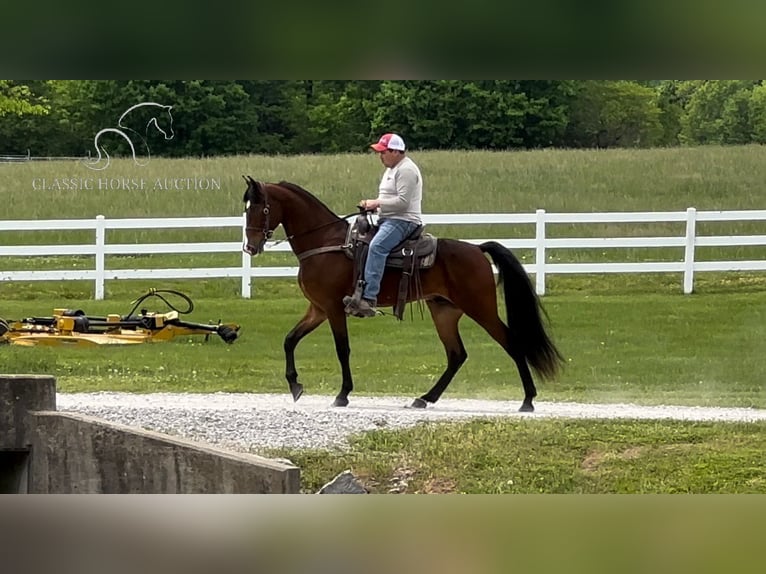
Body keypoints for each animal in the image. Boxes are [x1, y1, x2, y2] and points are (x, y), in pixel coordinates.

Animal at [243, 177, 568, 414]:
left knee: (511, 343)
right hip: (444, 311)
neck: (326, 243)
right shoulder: (318, 308)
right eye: (245, 208)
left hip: (481, 308)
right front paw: (295, 385)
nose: (250, 246)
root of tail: (476, 249)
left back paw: (528, 400)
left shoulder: (333, 309)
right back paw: (425, 398)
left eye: (261, 208)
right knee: (456, 354)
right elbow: (289, 340)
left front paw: (343, 394)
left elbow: (342, 349)